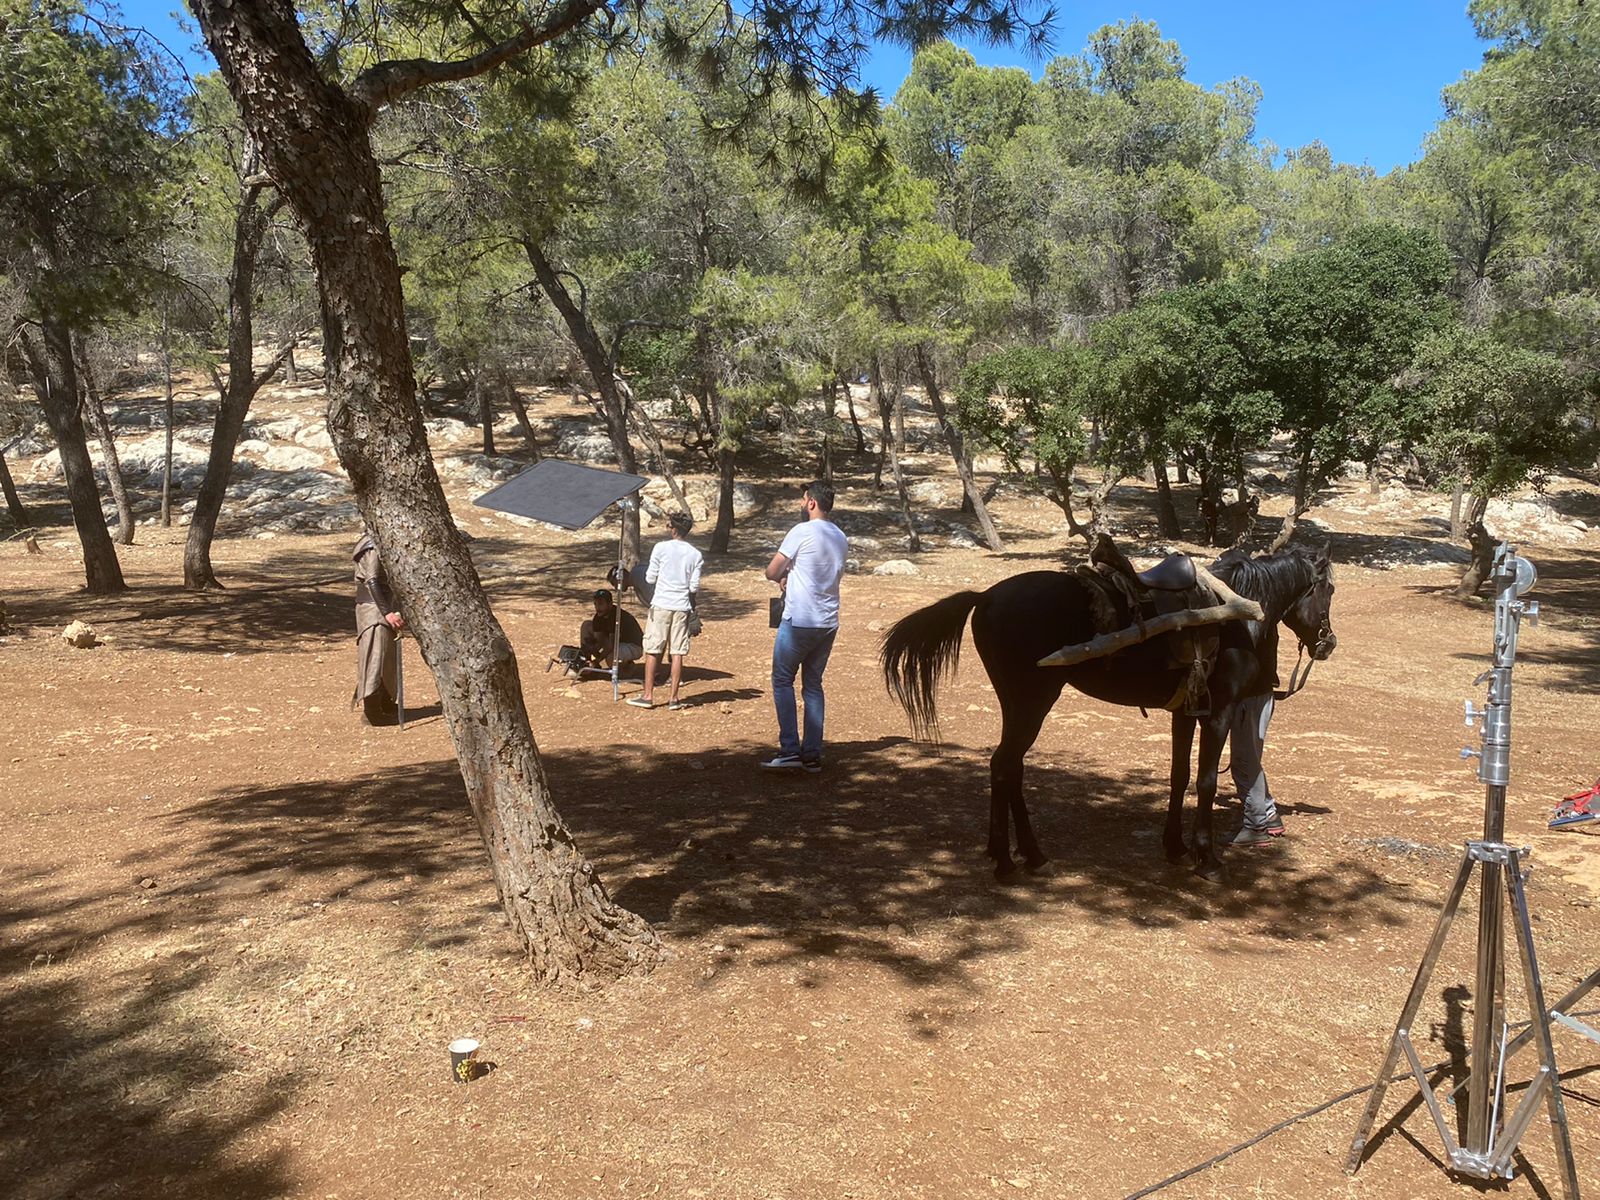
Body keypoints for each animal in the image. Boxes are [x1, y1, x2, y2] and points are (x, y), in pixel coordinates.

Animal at [883, 547, 1331, 883]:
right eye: (1327, 589)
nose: (1328, 644)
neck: (1236, 616)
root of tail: (985, 596)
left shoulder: (1186, 711)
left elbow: (1179, 775)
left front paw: (1175, 847)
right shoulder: (1219, 711)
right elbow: (1204, 781)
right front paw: (1207, 859)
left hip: (1017, 703)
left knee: (1009, 767)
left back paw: (1023, 854)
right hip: (1032, 700)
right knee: (1005, 765)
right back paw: (1011, 861)